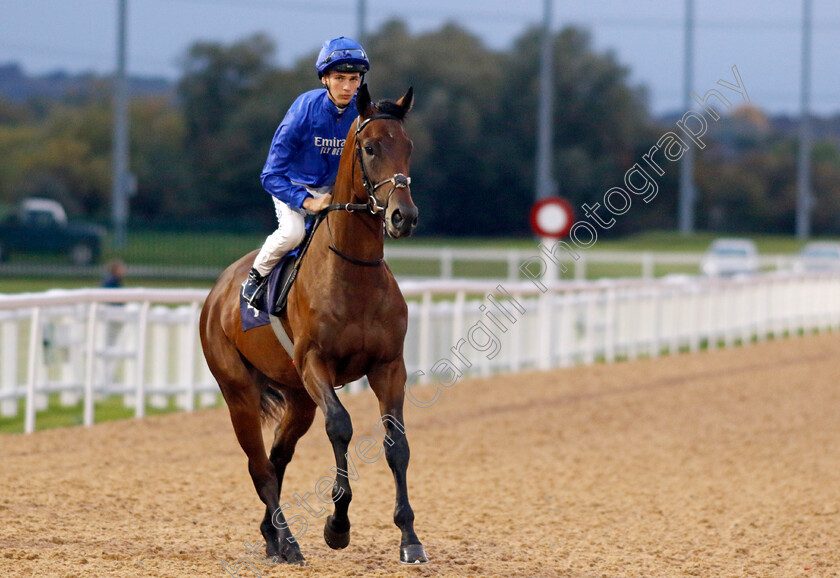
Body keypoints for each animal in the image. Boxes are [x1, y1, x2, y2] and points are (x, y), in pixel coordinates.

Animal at [199, 84, 426, 564]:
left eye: (408, 146)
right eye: (370, 147)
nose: (403, 216)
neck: (353, 272)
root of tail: (217, 293)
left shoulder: (388, 367)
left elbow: (396, 445)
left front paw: (409, 537)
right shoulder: (314, 364)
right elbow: (340, 426)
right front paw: (337, 525)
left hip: (297, 399)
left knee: (277, 457)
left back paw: (272, 536)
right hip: (239, 391)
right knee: (259, 465)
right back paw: (288, 541)